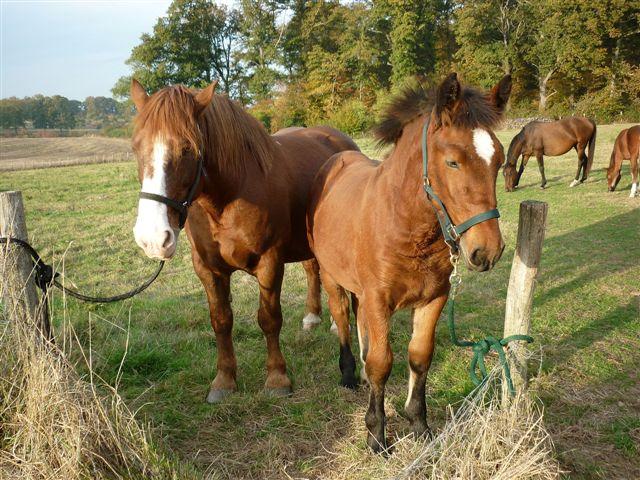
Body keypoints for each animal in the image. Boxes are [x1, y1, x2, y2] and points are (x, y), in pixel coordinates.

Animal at [129, 79, 360, 402]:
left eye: (187, 148)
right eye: (136, 147)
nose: (152, 238)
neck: (228, 197)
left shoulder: (270, 263)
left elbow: (269, 318)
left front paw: (277, 378)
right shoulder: (208, 269)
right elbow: (221, 321)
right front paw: (224, 381)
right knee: (312, 269)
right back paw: (313, 317)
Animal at [304, 73, 510, 452]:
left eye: (499, 160)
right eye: (453, 162)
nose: (487, 251)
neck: (406, 228)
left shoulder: (434, 299)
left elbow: (419, 356)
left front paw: (419, 425)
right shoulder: (377, 300)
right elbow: (381, 363)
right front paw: (376, 436)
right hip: (331, 277)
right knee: (342, 319)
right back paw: (348, 374)